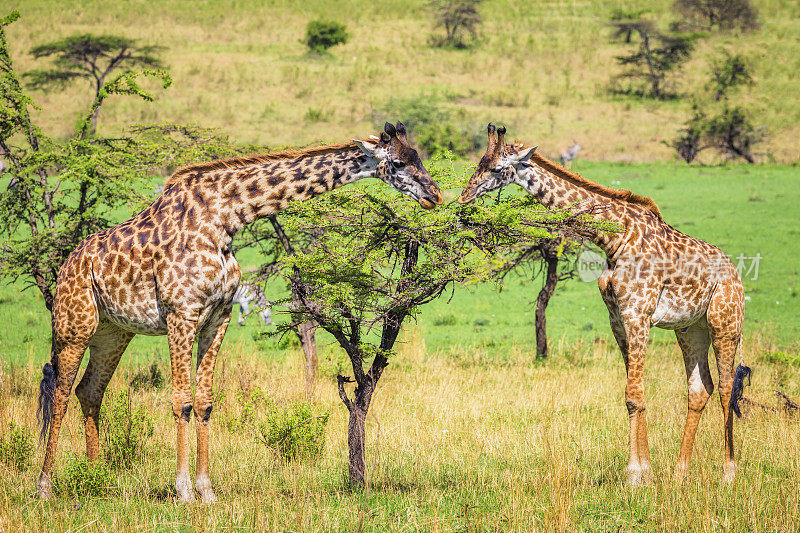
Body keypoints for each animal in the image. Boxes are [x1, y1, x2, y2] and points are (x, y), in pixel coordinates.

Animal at [36, 120, 444, 498]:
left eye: (419, 157)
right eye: (400, 162)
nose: (435, 194)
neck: (224, 220)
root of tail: (65, 267)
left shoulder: (218, 317)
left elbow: (204, 402)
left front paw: (206, 490)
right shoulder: (182, 313)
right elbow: (181, 401)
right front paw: (183, 491)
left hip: (113, 332)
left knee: (90, 391)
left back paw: (96, 479)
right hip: (73, 327)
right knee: (59, 392)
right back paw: (45, 486)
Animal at [456, 124, 752, 486]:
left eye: (498, 169)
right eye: (479, 163)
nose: (463, 201)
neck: (613, 239)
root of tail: (735, 274)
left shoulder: (638, 315)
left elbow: (635, 394)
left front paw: (637, 475)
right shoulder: (617, 320)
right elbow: (631, 397)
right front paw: (644, 471)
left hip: (725, 322)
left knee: (726, 388)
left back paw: (728, 474)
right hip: (690, 329)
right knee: (700, 388)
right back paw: (680, 473)